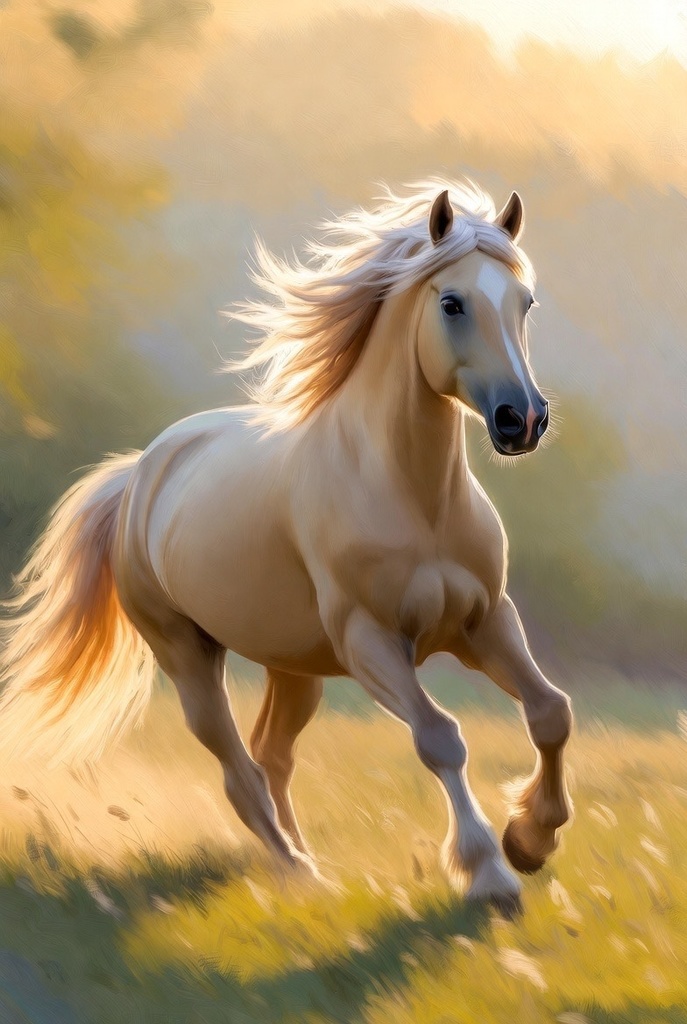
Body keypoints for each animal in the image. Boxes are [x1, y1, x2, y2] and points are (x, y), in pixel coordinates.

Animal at [0, 180, 572, 914]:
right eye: (451, 302)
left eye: (524, 302)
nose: (521, 419)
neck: (414, 498)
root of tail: (139, 476)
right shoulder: (371, 642)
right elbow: (440, 737)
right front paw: (488, 873)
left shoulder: (483, 621)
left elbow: (549, 712)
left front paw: (530, 840)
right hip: (186, 657)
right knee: (238, 771)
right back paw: (301, 874)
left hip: (295, 669)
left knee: (270, 753)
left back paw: (301, 867)